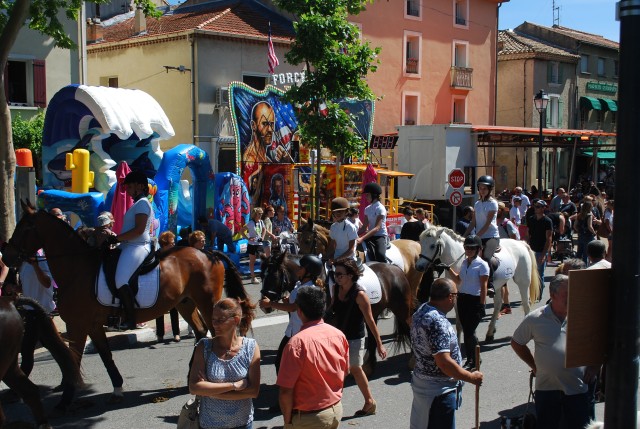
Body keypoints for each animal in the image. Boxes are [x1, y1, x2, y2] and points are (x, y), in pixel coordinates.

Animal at [4, 202, 250, 402]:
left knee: (212, 334)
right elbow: (105, 355)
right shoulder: (92, 325)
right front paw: (117, 389)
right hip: (185, 303)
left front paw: (65, 400)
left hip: (207, 302)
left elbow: (73, 360)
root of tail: (210, 253)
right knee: (200, 332)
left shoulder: (77, 325)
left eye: (25, 227)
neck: (77, 269)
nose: (6, 256)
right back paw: (192, 377)